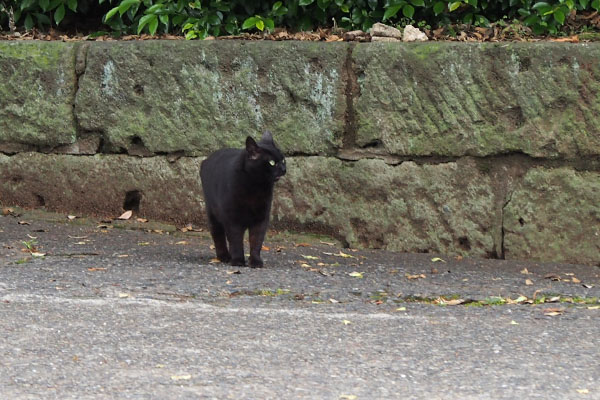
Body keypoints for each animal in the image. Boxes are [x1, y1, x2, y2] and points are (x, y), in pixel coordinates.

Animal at [200, 132, 288, 268]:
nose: (284, 169)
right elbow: (236, 241)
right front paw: (238, 260)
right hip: (213, 213)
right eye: (272, 162)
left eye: (283, 160)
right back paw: (224, 256)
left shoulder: (261, 219)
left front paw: (255, 261)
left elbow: (256, 241)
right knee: (218, 236)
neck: (256, 187)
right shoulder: (233, 219)